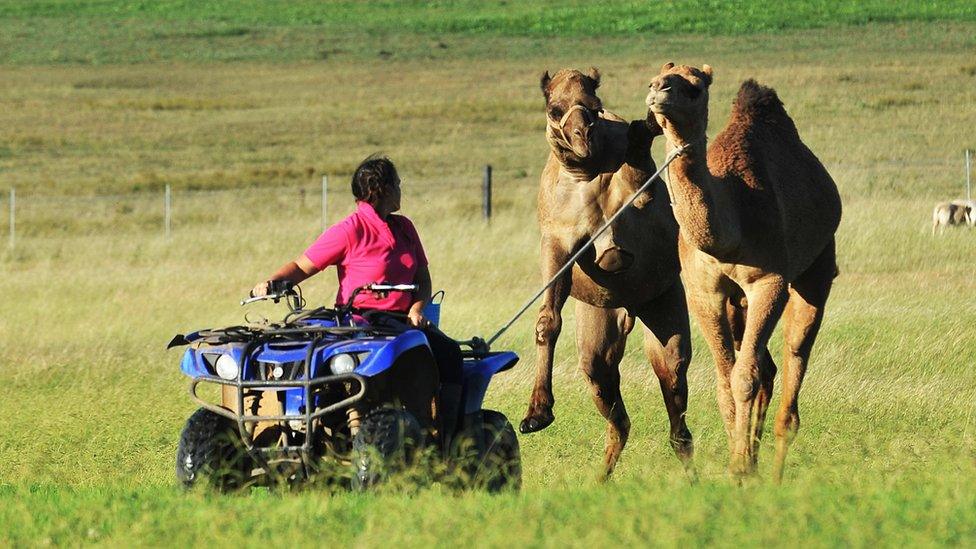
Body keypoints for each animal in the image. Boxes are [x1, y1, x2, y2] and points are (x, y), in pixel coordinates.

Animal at [524, 68, 692, 478]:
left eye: (594, 105)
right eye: (554, 109)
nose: (582, 137)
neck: (586, 175)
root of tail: (630, 310)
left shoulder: (639, 190)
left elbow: (639, 155)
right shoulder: (558, 243)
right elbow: (548, 320)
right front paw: (536, 414)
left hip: (662, 305)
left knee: (674, 389)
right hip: (600, 332)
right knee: (613, 403)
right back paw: (601, 477)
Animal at [644, 63, 844, 480]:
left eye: (695, 87)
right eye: (656, 77)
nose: (658, 90)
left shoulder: (769, 282)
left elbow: (743, 376)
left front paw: (737, 467)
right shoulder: (704, 292)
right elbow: (726, 380)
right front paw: (741, 464)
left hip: (818, 266)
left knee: (795, 352)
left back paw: (775, 471)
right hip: (737, 304)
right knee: (766, 367)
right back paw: (754, 458)